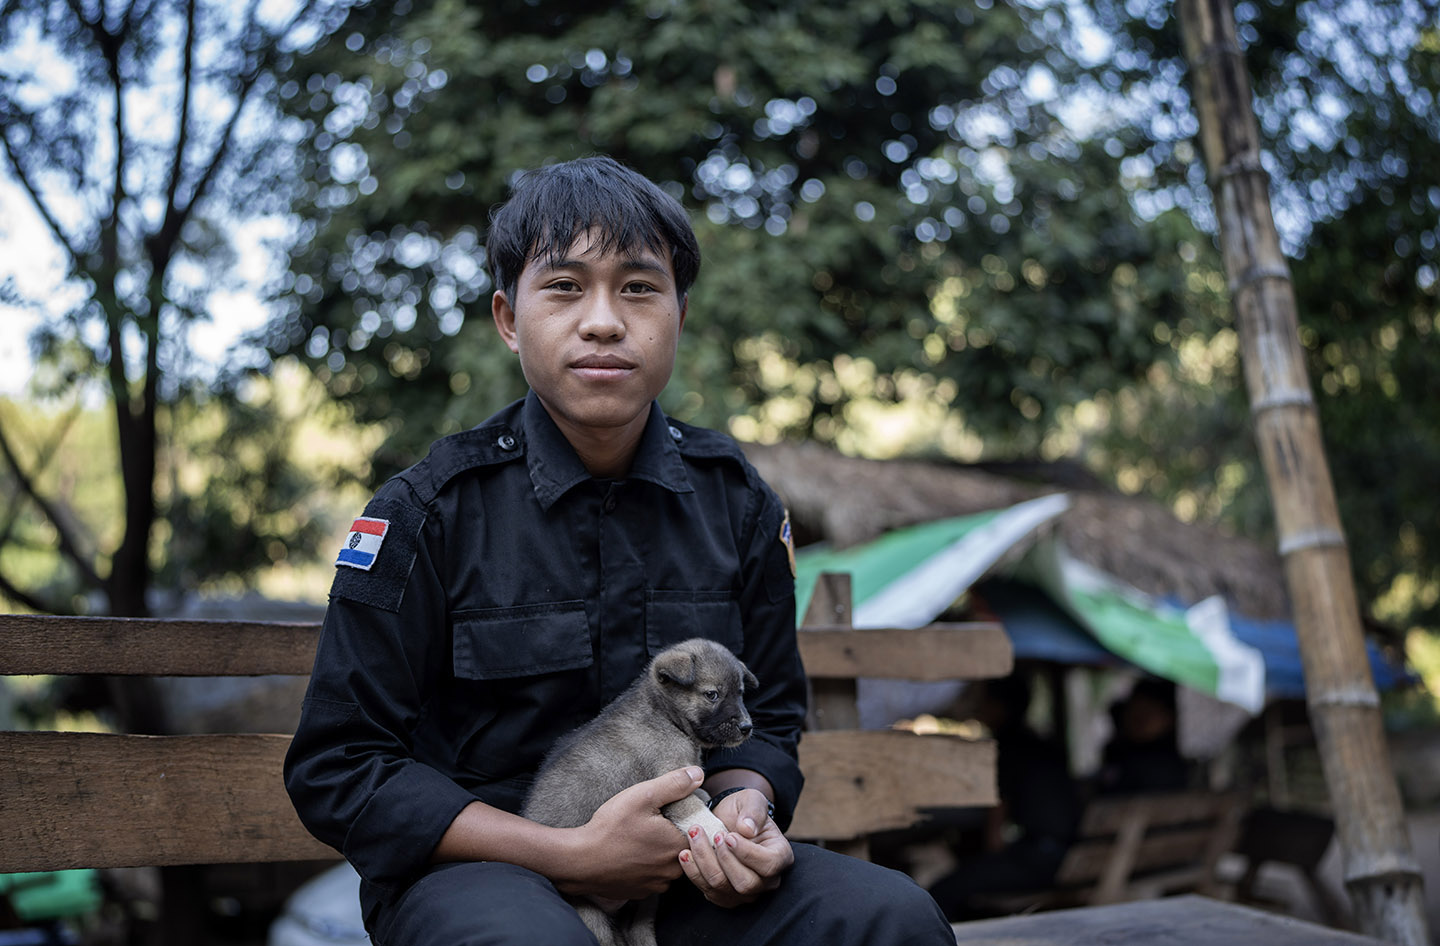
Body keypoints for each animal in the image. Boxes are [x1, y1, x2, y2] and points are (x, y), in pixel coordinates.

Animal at [524, 639, 760, 938]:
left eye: (740, 693)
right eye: (712, 695)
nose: (747, 727)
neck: (665, 715)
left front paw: (705, 796)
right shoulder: (669, 777)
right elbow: (693, 811)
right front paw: (717, 830)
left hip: (644, 908)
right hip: (591, 916)